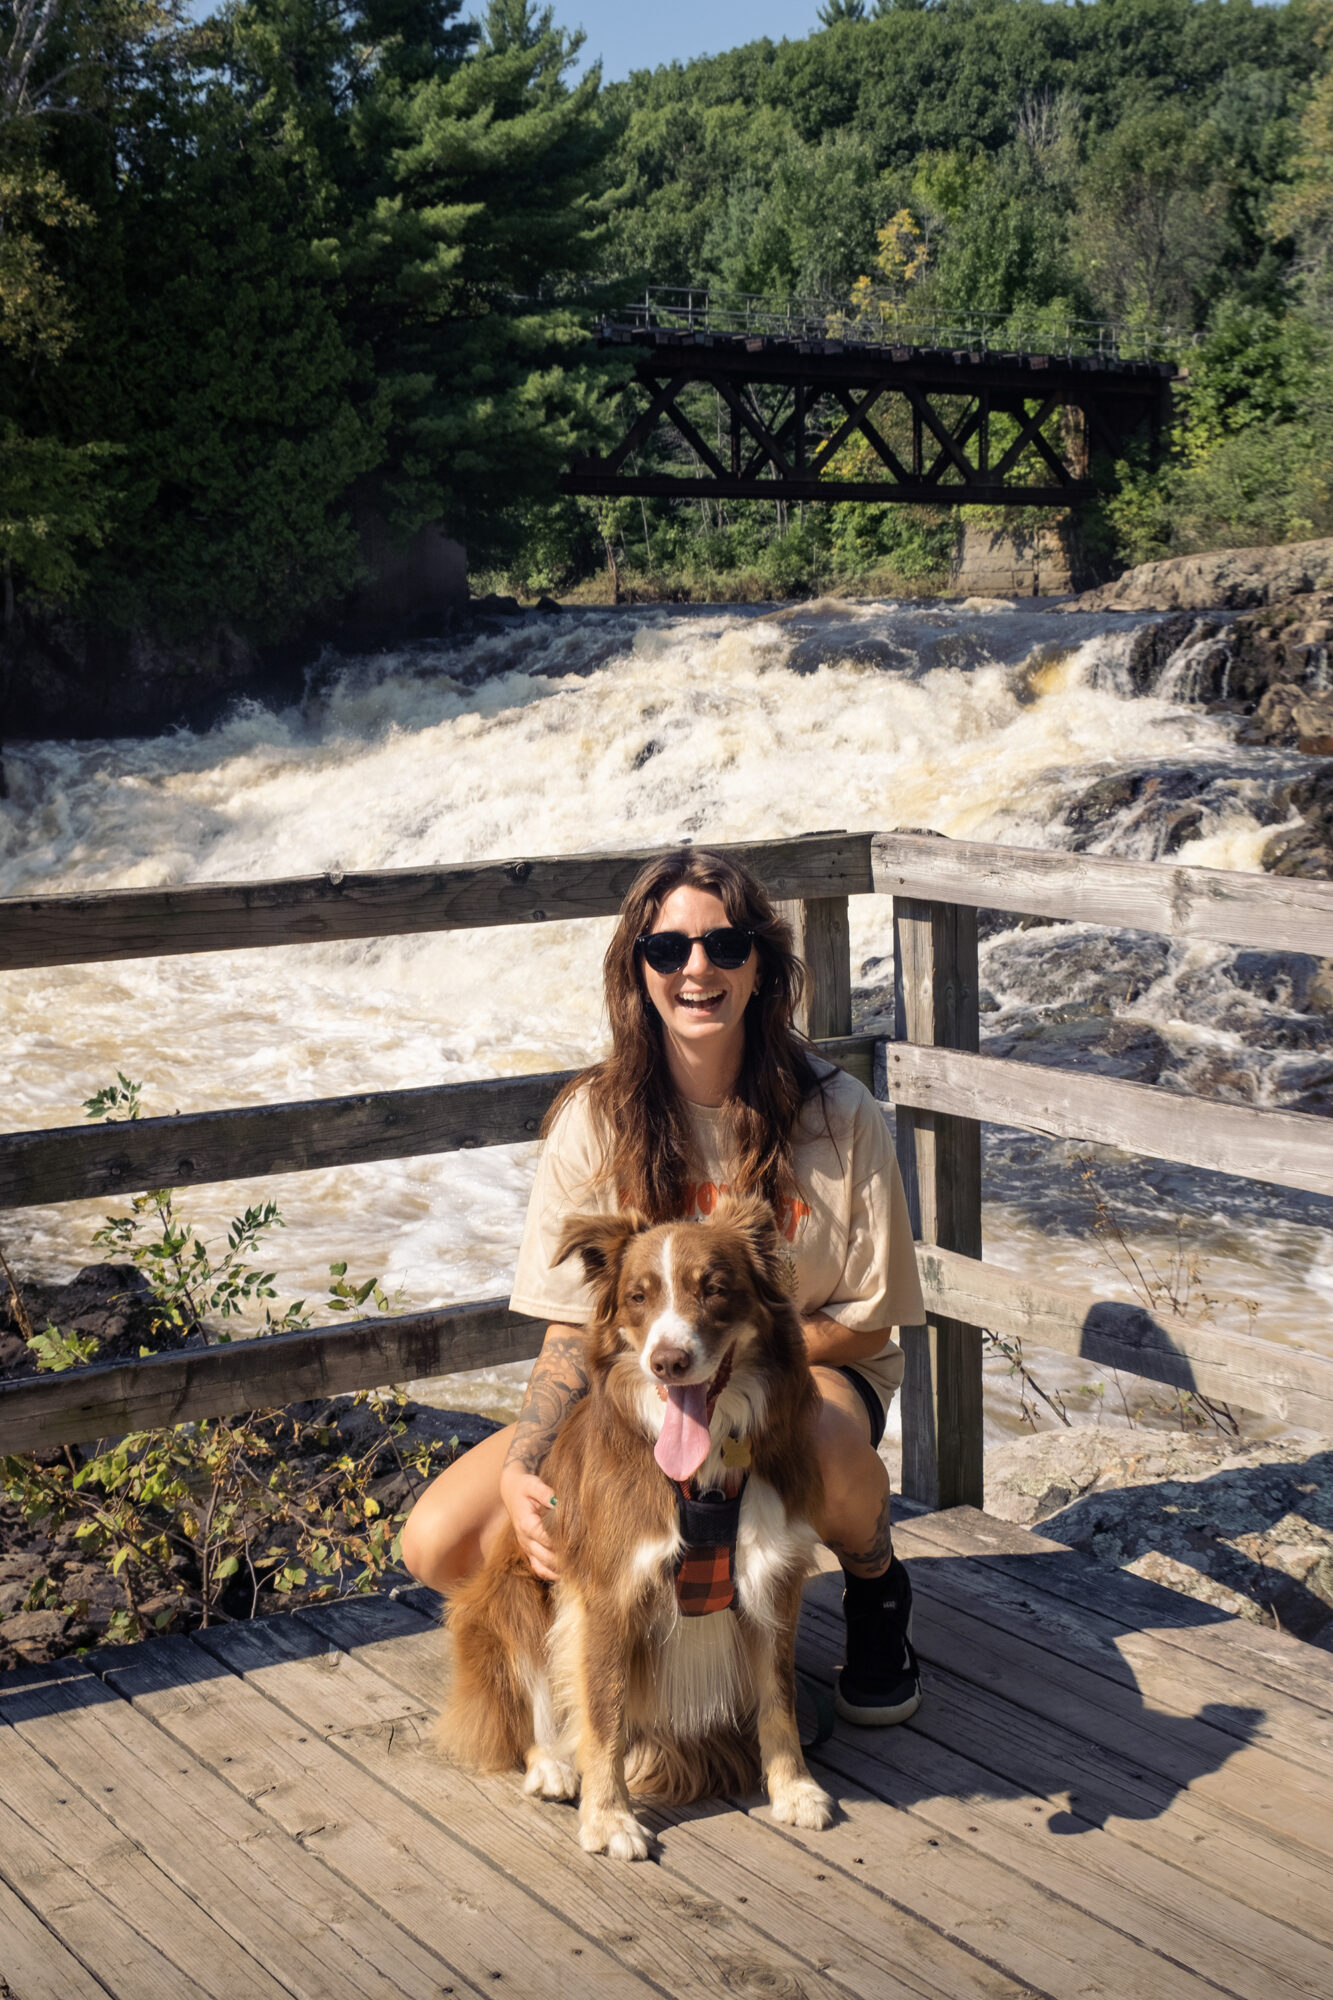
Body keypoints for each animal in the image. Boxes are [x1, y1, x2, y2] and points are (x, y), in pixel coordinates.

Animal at [436, 1184, 832, 1856]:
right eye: (639, 1297)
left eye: (714, 1288)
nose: (668, 1362)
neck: (704, 1474)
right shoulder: (606, 1594)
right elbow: (606, 1714)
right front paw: (609, 1817)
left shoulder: (772, 1576)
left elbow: (779, 1696)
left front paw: (794, 1788)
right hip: (509, 1597)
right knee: (528, 1713)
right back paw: (552, 1764)